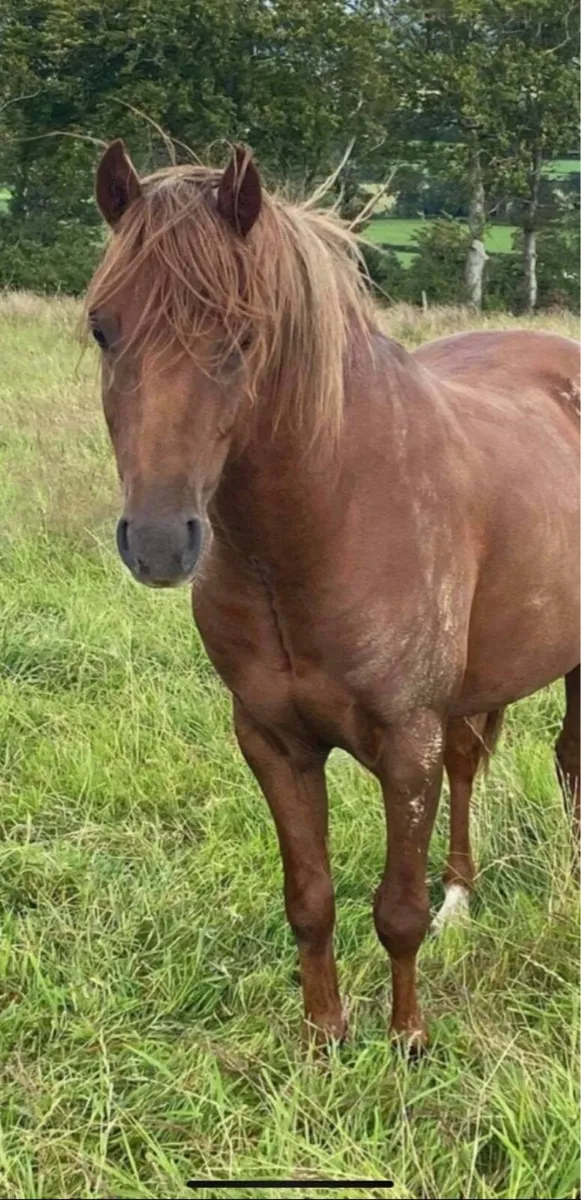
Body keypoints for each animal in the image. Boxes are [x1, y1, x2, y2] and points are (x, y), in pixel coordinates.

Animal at [86, 140, 580, 1051]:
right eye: (103, 327)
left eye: (242, 336)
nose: (161, 542)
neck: (327, 518)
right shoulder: (272, 741)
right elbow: (310, 900)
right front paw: (323, 1037)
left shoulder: (406, 743)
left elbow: (395, 911)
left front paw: (408, 1040)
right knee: (471, 764)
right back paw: (462, 897)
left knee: (566, 761)